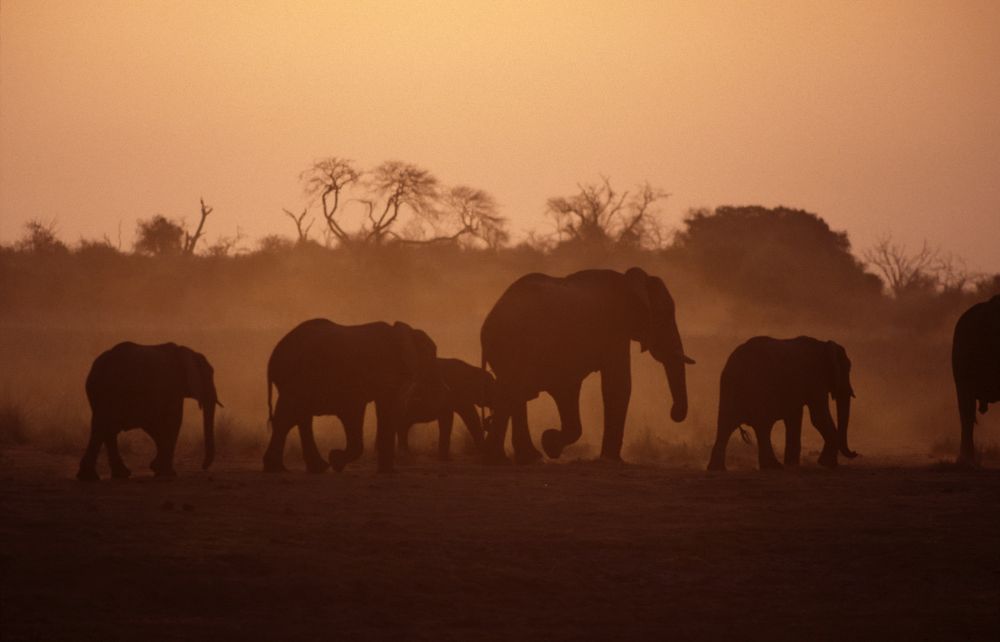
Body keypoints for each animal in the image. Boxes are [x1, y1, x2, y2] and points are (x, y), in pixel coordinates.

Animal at [78, 340, 221, 480]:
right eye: (209, 376)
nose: (203, 467)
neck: (187, 351)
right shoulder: (172, 386)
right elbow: (173, 421)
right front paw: (167, 472)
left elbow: (155, 424)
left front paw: (157, 468)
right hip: (112, 391)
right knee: (105, 426)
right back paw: (93, 476)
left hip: (100, 392)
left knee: (105, 427)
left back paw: (109, 475)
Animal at [264, 318, 444, 472]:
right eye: (430, 357)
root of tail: (272, 357)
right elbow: (364, 411)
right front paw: (336, 460)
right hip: (293, 378)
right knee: (288, 417)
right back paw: (280, 468)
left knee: (298, 417)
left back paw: (310, 468)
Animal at [480, 268, 692, 462]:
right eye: (664, 315)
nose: (674, 414)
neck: (629, 281)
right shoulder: (614, 328)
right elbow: (618, 384)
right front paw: (609, 460)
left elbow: (571, 390)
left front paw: (550, 444)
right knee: (512, 392)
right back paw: (504, 458)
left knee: (514, 393)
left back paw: (521, 457)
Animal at [704, 336, 860, 470]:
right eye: (847, 369)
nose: (855, 453)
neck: (823, 344)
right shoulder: (815, 379)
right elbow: (818, 417)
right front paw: (827, 464)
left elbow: (795, 417)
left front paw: (794, 464)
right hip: (758, 389)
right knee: (762, 426)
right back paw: (773, 466)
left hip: (729, 389)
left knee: (726, 424)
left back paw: (717, 469)